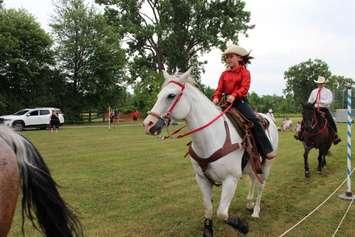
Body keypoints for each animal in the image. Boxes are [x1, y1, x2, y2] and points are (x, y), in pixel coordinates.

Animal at [143, 69, 280, 236]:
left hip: (267, 164)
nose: (148, 124)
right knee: (253, 179)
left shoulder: (231, 179)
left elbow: (222, 213)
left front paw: (242, 226)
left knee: (261, 184)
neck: (212, 137)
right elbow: (208, 209)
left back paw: (256, 211)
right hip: (251, 165)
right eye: (158, 95)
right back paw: (249, 203)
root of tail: (269, 118)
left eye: (171, 95)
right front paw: (208, 230)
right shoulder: (201, 178)